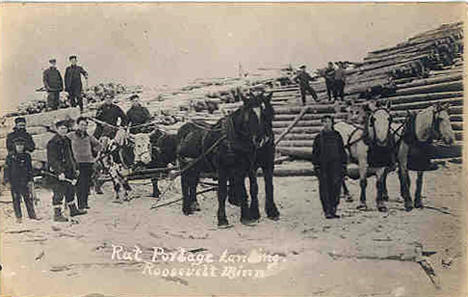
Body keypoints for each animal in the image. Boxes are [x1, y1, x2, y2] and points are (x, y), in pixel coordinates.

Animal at [177, 91, 268, 225]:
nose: (259, 139)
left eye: (262, 113)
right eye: (249, 115)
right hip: (185, 165)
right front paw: (222, 219)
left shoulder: (244, 168)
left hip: (196, 166)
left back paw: (194, 204)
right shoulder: (222, 170)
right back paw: (186, 208)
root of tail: (183, 129)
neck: (231, 139)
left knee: (193, 183)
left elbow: (244, 190)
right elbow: (222, 192)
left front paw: (246, 217)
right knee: (184, 183)